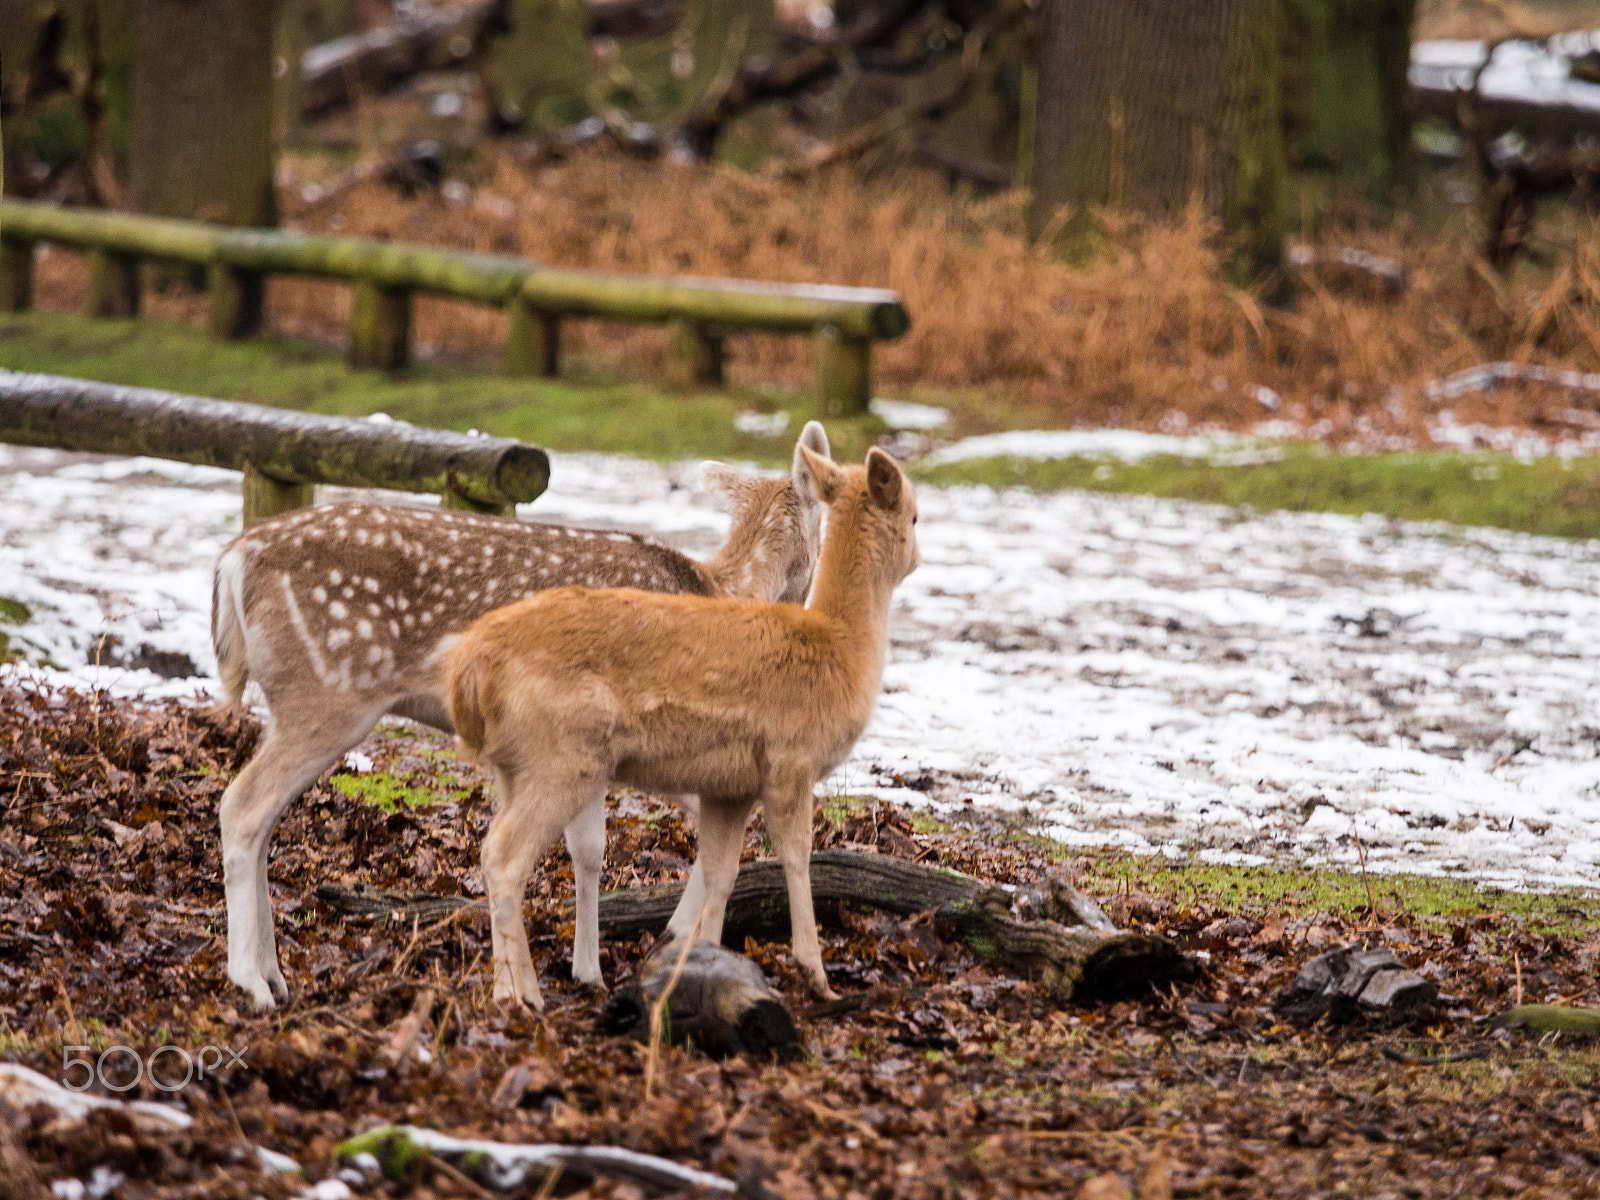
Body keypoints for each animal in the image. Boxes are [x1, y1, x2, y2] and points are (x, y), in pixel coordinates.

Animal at [214, 425, 832, 1017]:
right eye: (824, 525)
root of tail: (231, 562)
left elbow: (589, 850)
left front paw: (590, 969)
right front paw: (662, 944)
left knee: (261, 817)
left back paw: (274, 974)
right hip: (328, 694)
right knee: (241, 807)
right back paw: (252, 982)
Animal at [444, 448, 921, 1011]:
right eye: (915, 516)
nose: (918, 555)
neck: (841, 649)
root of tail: (470, 667)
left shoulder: (730, 786)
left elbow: (721, 872)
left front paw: (705, 963)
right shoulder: (791, 758)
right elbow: (796, 855)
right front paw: (816, 975)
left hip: (515, 765)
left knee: (500, 848)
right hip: (560, 756)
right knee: (503, 855)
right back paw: (518, 998)